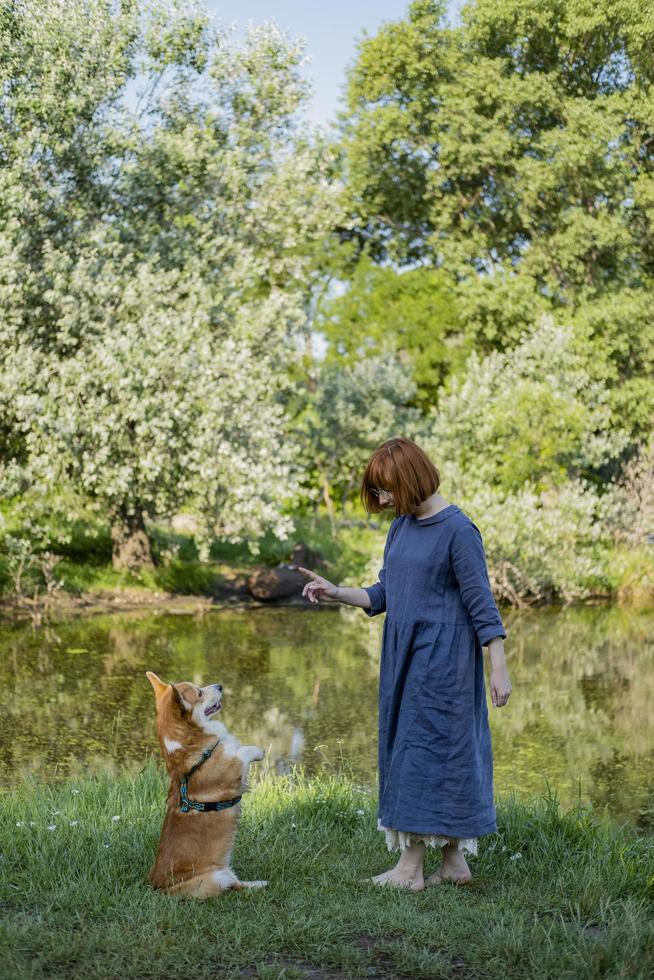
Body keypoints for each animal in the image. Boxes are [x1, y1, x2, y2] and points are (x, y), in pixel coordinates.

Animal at [146, 668, 266, 900]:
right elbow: (243, 751)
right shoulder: (233, 767)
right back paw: (260, 884)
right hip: (216, 876)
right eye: (199, 693)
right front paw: (258, 751)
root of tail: (162, 889)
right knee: (234, 886)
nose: (220, 685)